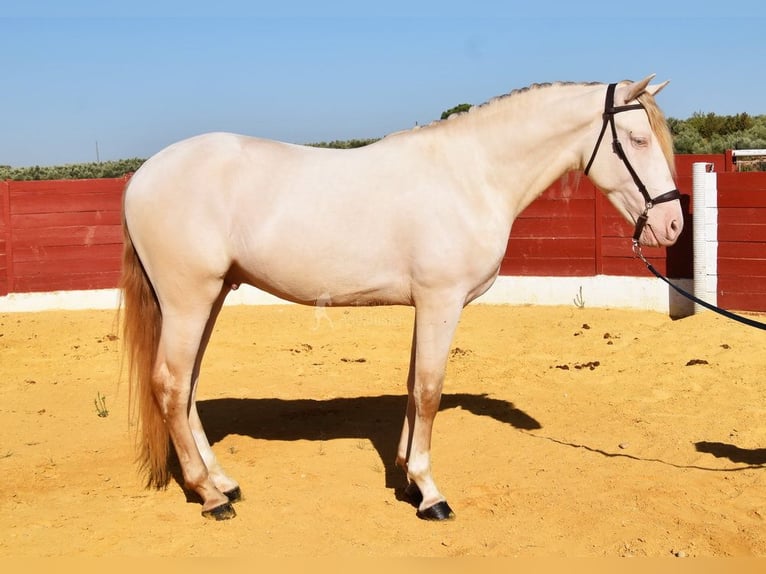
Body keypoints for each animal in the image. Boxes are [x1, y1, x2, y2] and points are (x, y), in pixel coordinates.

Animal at [120, 75, 683, 521]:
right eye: (636, 139)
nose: (673, 224)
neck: (470, 176)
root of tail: (142, 177)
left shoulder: (427, 307)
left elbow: (414, 387)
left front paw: (408, 479)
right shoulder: (441, 303)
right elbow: (430, 391)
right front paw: (431, 494)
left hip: (210, 297)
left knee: (189, 386)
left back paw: (223, 481)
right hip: (188, 300)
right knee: (170, 384)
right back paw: (209, 496)